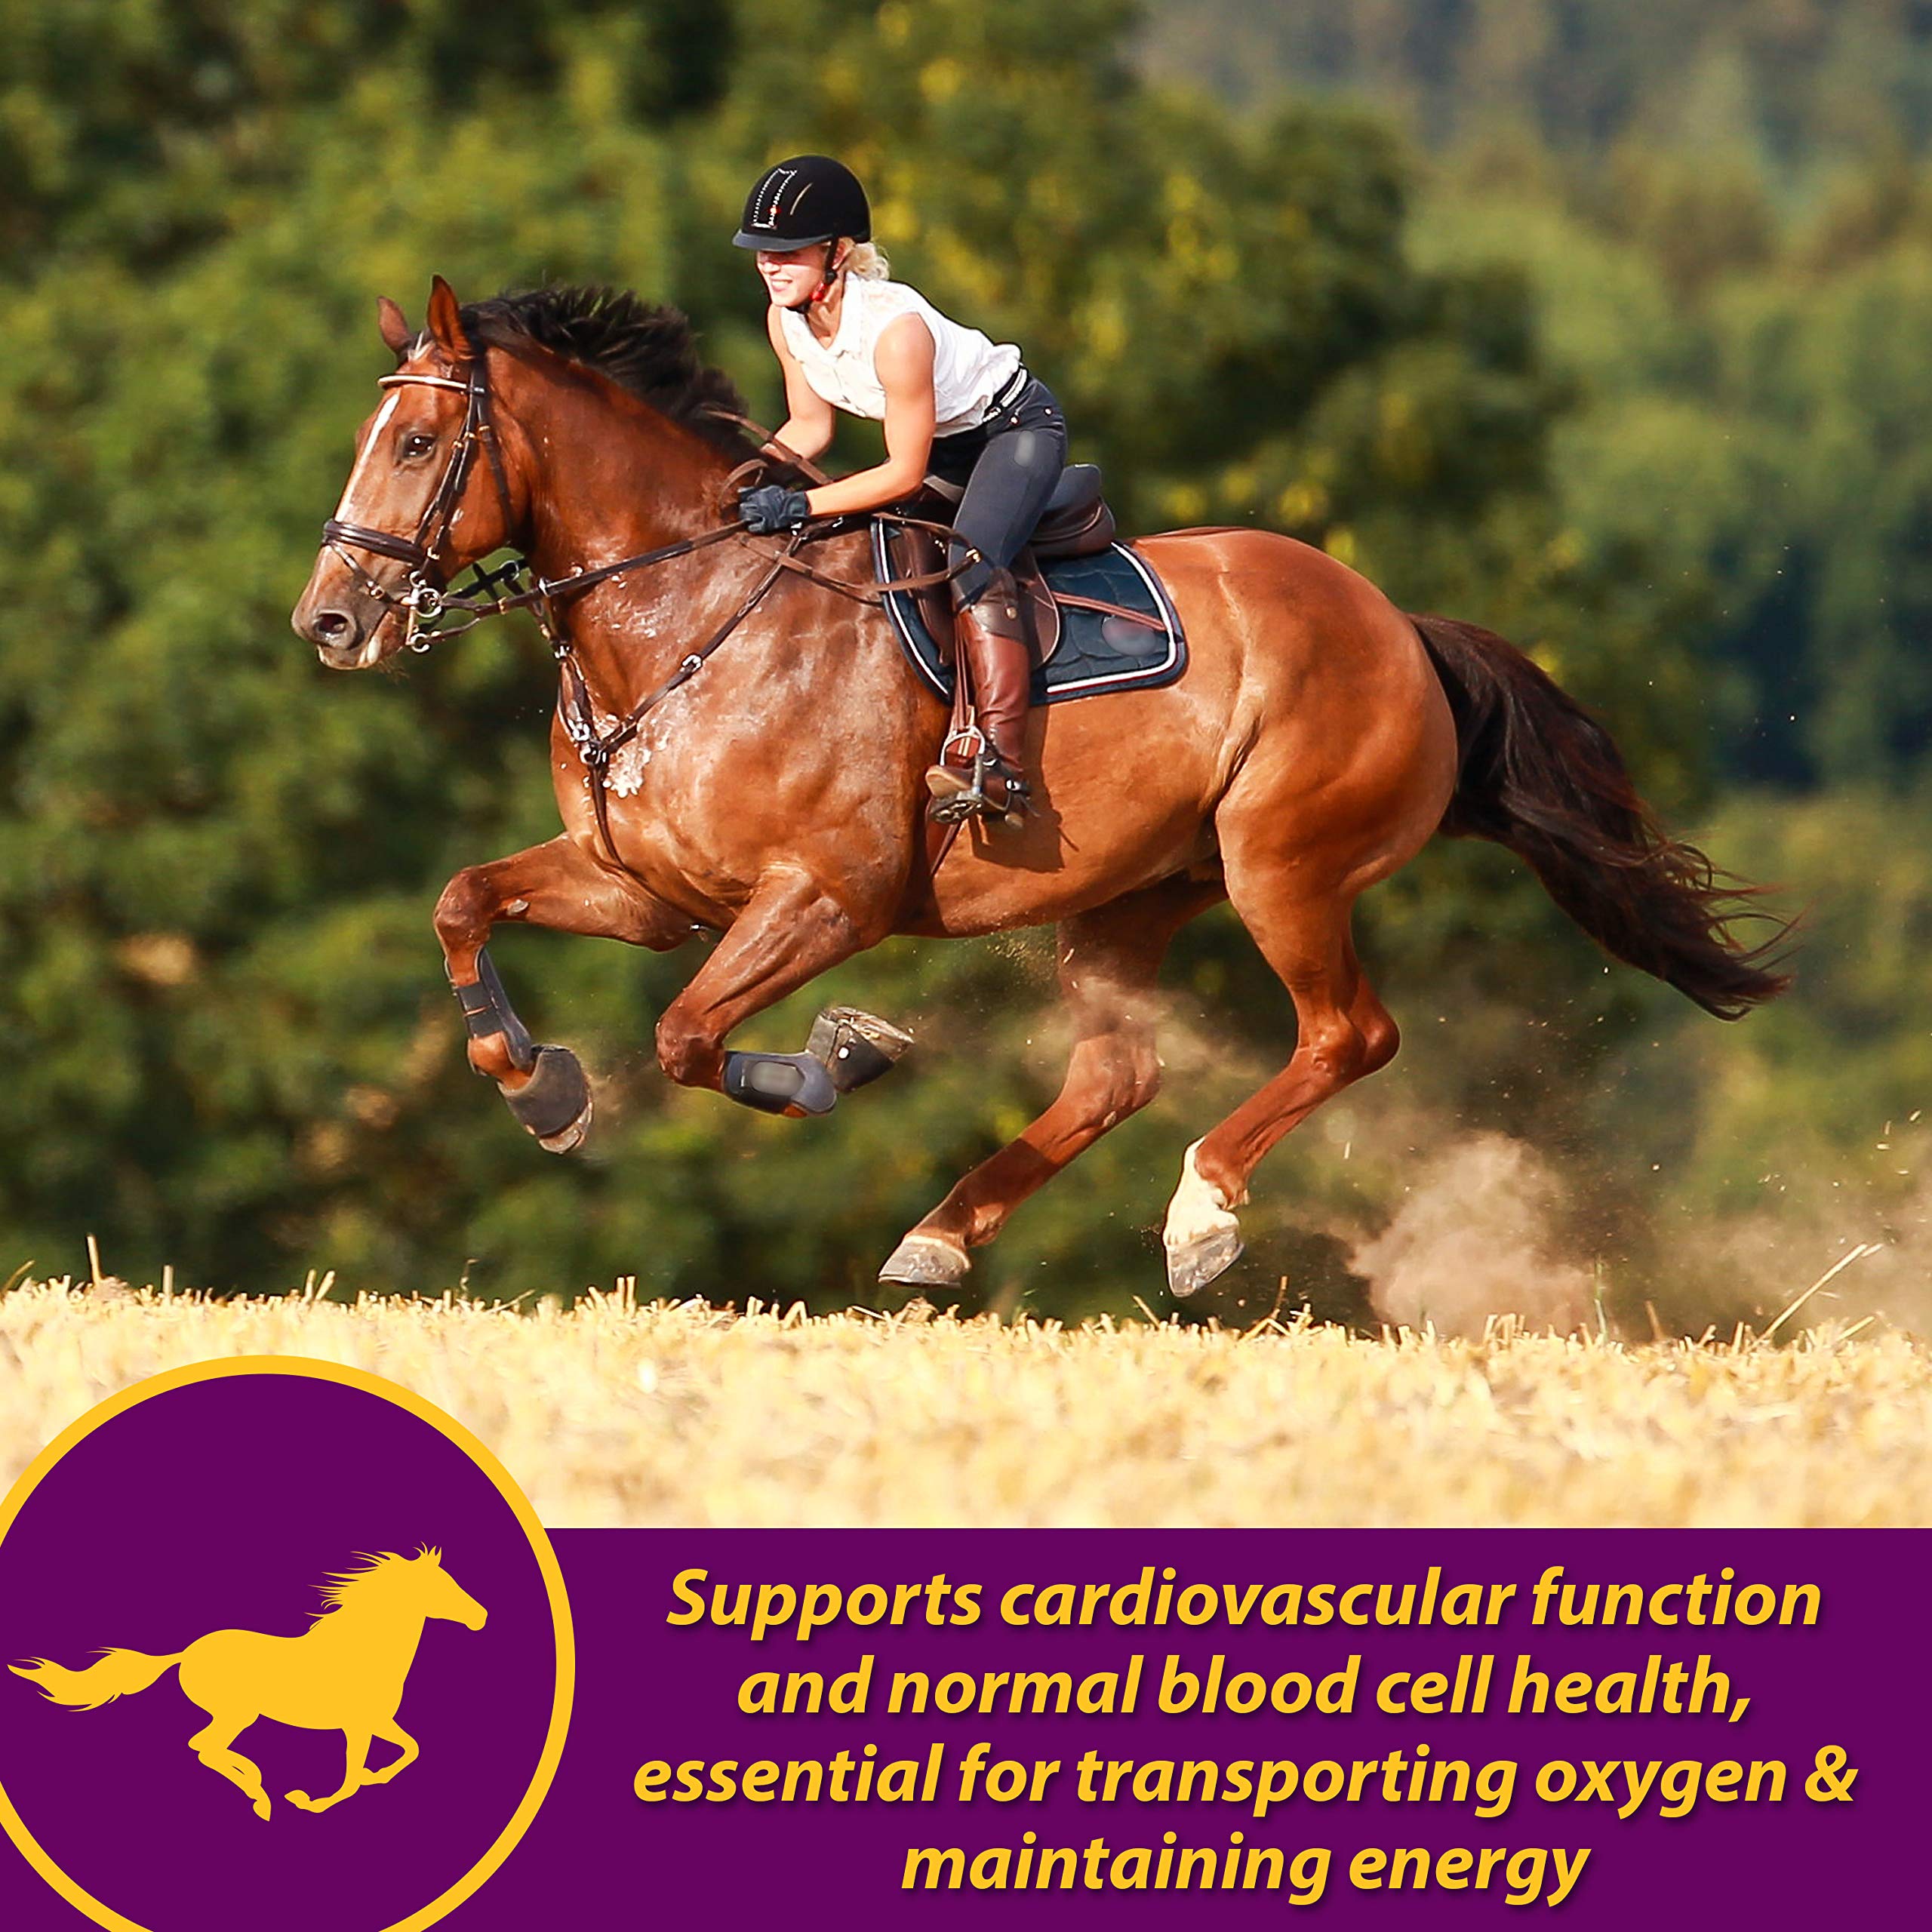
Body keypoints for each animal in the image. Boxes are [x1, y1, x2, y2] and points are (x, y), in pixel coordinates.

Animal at [10, 1548, 485, 1820]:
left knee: (205, 1748)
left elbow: (410, 1750)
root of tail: (186, 1653)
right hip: (237, 1713)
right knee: (203, 1746)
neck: (366, 1652)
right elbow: (350, 1777)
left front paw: (374, 1778)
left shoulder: (378, 1722)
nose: (480, 1617)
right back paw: (261, 1793)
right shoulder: (356, 1727)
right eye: (442, 1587)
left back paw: (258, 1787)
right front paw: (310, 1801)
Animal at [291, 277, 1788, 1300]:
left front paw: (846, 1054)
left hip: (1283, 865)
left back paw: (1197, 1221)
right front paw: (539, 1087)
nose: (330, 622)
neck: (686, 613)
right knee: (1121, 1069)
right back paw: (940, 1237)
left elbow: (689, 1038)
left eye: (417, 448)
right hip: (1134, 893)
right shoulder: (644, 888)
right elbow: (463, 902)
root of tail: (1403, 629)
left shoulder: (827, 897)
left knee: (1346, 1034)